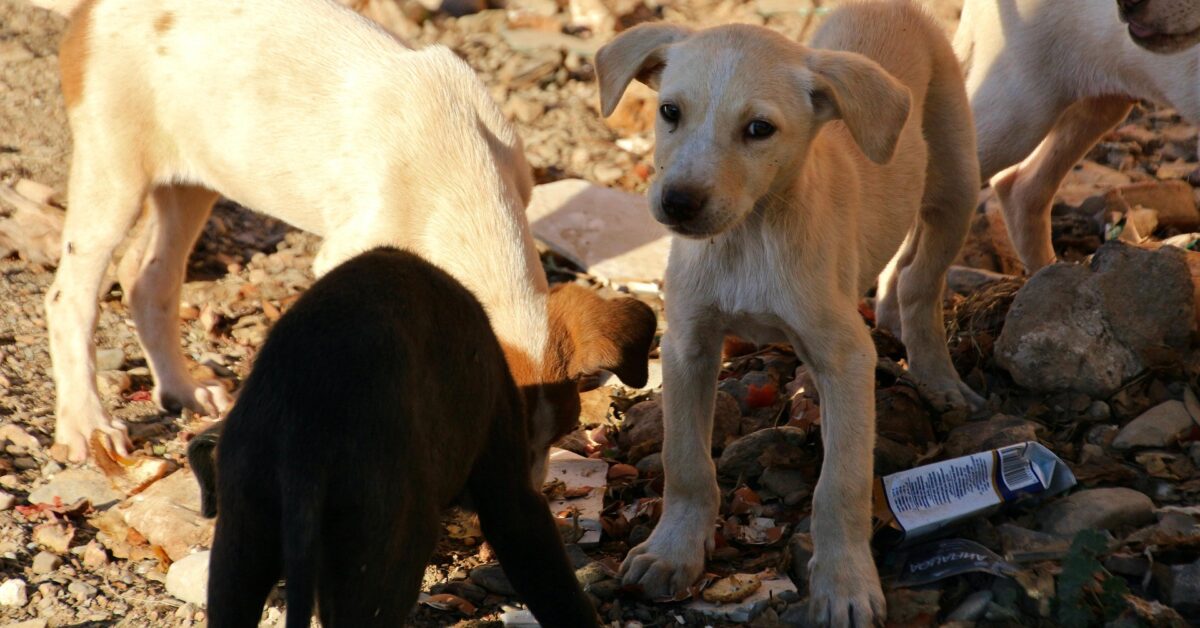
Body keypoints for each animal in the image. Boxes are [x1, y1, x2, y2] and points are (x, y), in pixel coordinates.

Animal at [44, 0, 657, 465]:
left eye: (556, 440)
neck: (459, 174)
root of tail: (90, 9)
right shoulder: (348, 255)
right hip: (113, 172)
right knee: (69, 296)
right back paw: (86, 423)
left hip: (192, 180)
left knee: (150, 279)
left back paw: (182, 388)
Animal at [595, 2, 979, 624]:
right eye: (670, 111)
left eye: (759, 129)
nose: (678, 202)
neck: (749, 235)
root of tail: (891, 7)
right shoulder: (687, 346)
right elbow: (685, 460)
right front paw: (672, 550)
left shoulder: (847, 353)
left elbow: (842, 484)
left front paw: (845, 583)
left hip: (957, 184)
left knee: (921, 286)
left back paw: (939, 379)